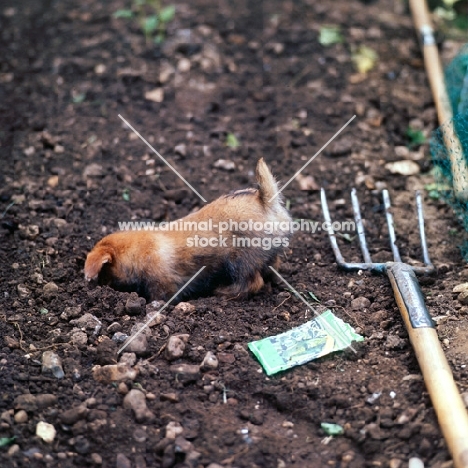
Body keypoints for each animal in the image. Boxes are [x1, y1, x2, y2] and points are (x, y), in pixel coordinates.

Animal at [82, 159, 290, 302]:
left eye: (104, 272)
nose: (96, 286)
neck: (136, 250)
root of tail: (265, 201)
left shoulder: (163, 286)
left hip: (239, 261)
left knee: (251, 283)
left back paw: (222, 292)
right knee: (273, 266)